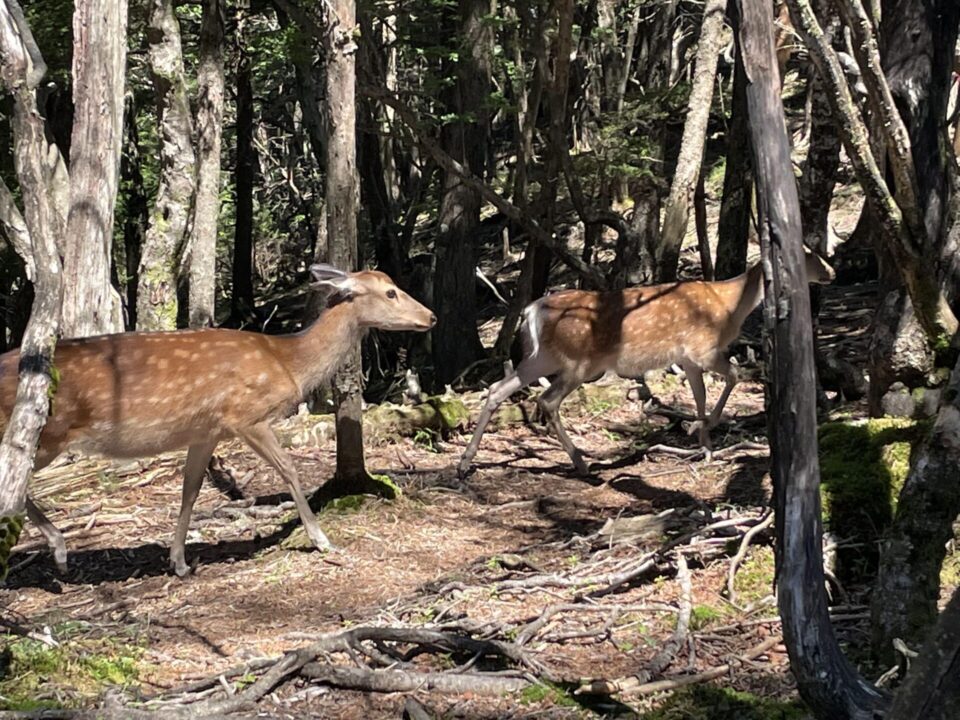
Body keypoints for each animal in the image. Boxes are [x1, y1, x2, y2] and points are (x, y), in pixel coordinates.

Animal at [1, 262, 436, 572]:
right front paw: (321, 538)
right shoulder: (246, 416)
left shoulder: (205, 431)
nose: (430, 316)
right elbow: (290, 470)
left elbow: (190, 489)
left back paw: (58, 549)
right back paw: (58, 549)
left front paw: (178, 561)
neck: (288, 363)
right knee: (15, 477)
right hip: (49, 431)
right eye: (390, 292)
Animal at [458, 253, 832, 478]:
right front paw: (704, 429)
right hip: (577, 361)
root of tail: (531, 311)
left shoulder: (687, 359)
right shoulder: (703, 349)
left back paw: (465, 463)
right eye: (807, 251)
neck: (729, 308)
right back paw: (581, 462)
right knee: (546, 400)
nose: (832, 271)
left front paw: (705, 445)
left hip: (541, 358)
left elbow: (699, 395)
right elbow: (734, 376)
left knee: (496, 389)